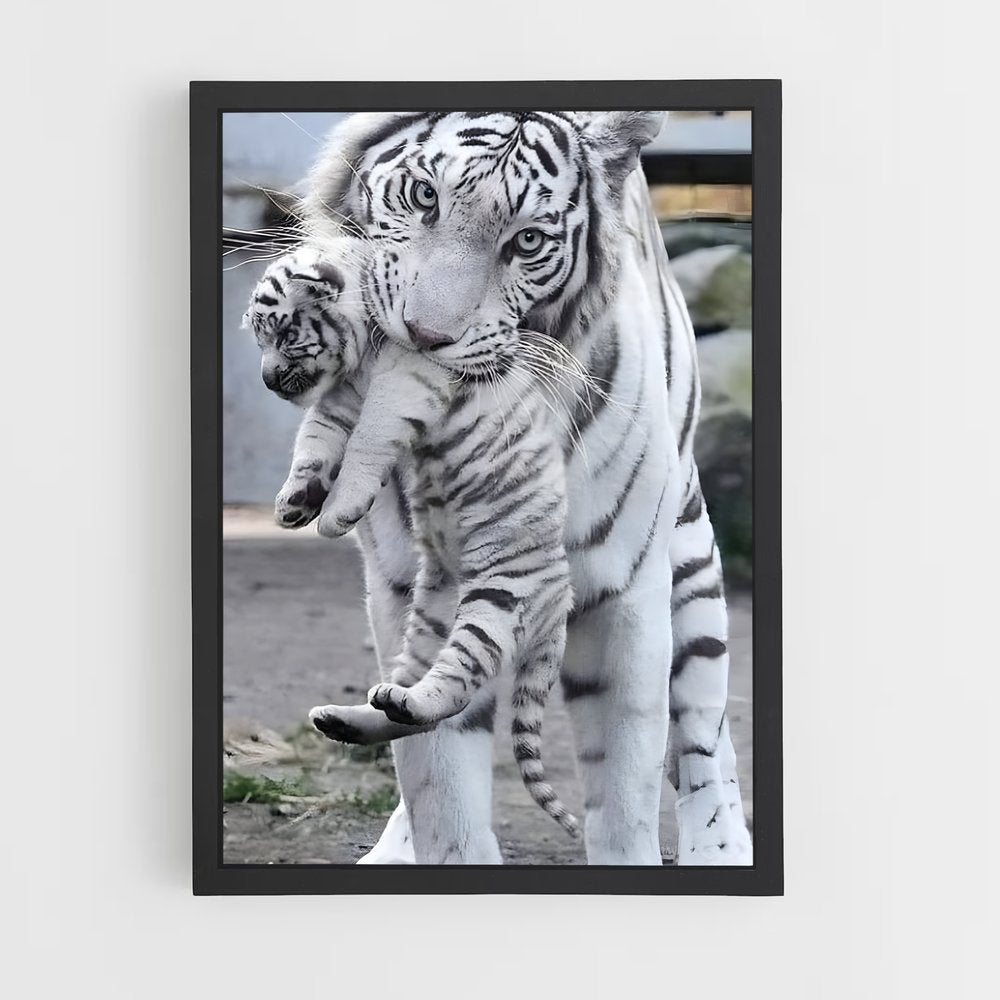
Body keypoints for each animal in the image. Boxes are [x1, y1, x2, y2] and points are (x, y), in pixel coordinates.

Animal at [244, 240, 579, 836]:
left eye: (283, 333)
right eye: (259, 337)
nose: (266, 380)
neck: (363, 354)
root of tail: (561, 603)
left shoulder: (405, 381)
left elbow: (364, 443)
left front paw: (334, 515)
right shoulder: (341, 397)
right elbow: (315, 440)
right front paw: (294, 502)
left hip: (500, 597)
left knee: (455, 683)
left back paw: (408, 703)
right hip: (433, 611)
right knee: (409, 696)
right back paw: (350, 717)